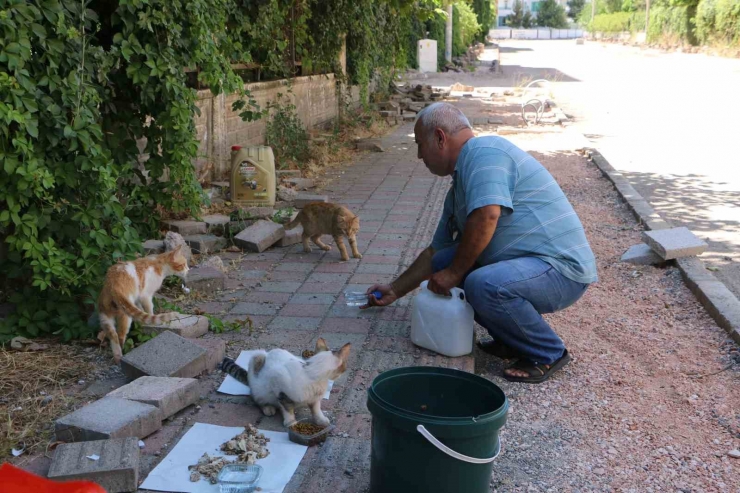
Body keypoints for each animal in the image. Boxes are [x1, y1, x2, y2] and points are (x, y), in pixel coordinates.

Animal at [218, 338, 352, 426]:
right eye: (345, 365)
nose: (346, 369)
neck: (311, 374)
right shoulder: (278, 385)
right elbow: (287, 408)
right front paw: (291, 422)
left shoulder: (314, 399)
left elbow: (316, 409)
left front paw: (320, 419)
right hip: (257, 358)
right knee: (255, 397)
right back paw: (267, 407)